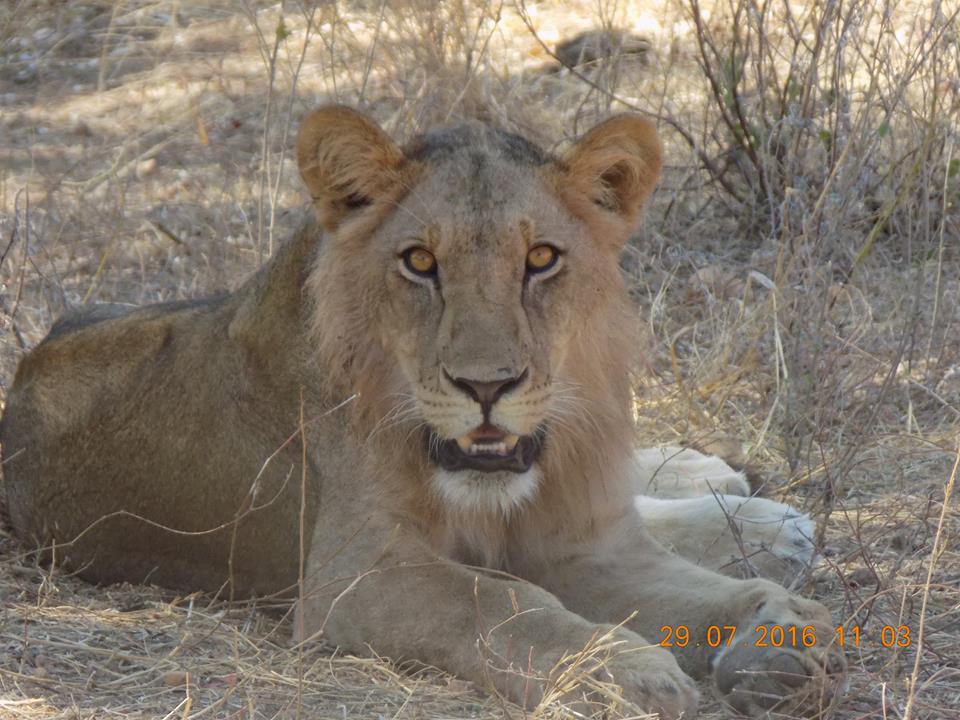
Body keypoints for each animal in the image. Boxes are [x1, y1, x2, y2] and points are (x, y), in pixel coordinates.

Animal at [1, 106, 845, 718]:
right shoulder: (354, 576)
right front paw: (621, 669)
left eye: (542, 259)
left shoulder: (588, 547)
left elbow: (718, 595)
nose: (486, 386)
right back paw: (764, 518)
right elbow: (502, 601)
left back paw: (738, 497)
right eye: (419, 262)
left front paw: (780, 635)